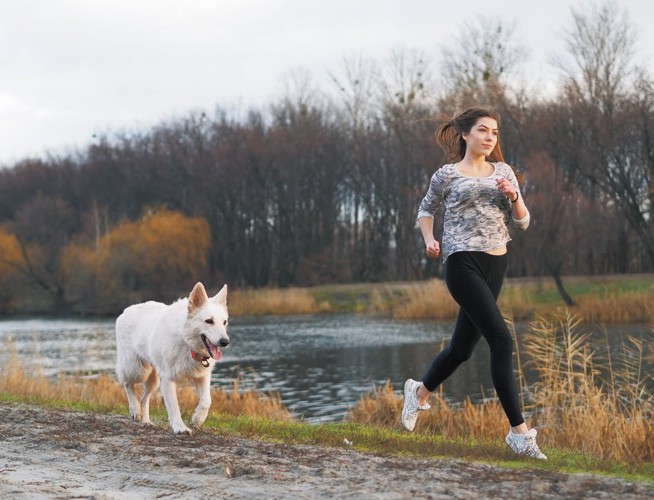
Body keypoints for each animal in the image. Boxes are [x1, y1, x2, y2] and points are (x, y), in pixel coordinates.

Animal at [115, 282, 231, 434]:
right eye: (209, 321)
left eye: (224, 322)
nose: (225, 342)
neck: (185, 341)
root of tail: (126, 310)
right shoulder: (168, 379)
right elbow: (174, 406)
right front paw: (180, 428)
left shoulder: (202, 376)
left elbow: (206, 400)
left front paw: (197, 419)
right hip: (138, 371)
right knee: (128, 384)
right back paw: (135, 410)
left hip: (153, 380)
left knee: (143, 398)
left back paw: (145, 421)